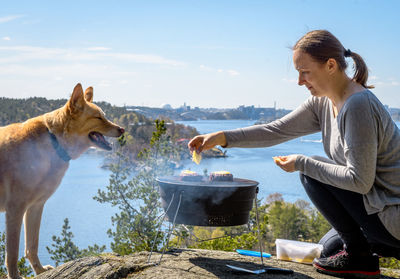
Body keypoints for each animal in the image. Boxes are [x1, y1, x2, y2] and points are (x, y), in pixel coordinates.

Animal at [0, 84, 124, 278]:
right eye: (98, 117)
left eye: (104, 115)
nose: (122, 129)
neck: (54, 142)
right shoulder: (15, 209)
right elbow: (12, 253)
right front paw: (15, 276)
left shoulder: (35, 206)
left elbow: (32, 246)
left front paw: (39, 271)